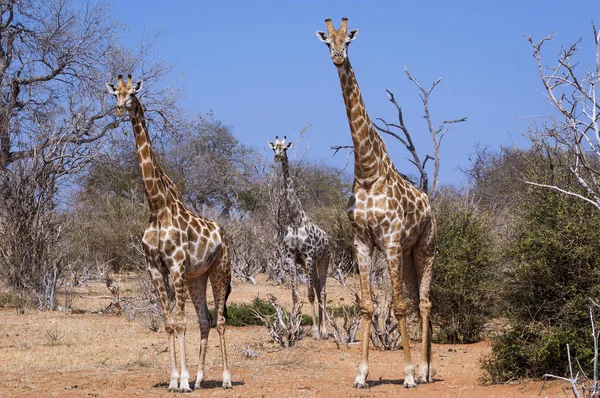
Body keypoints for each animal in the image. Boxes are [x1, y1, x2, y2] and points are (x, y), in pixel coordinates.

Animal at [106, 74, 232, 392]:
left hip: (220, 270)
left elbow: (180, 322)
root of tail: (223, 234)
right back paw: (200, 378)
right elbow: (169, 322)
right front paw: (175, 379)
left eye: (132, 94)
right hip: (197, 277)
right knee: (205, 320)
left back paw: (225, 378)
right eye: (116, 94)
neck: (157, 205)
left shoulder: (175, 266)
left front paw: (183, 381)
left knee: (221, 320)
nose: (119, 109)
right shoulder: (154, 268)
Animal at [316, 19, 438, 388]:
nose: (338, 57)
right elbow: (368, 306)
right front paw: (361, 374)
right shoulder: (362, 242)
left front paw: (408, 374)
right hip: (409, 256)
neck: (368, 171)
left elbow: (398, 306)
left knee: (423, 302)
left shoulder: (392, 241)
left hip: (425, 247)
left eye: (348, 41)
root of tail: (430, 206)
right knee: (417, 298)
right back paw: (426, 368)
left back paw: (425, 372)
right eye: (327, 42)